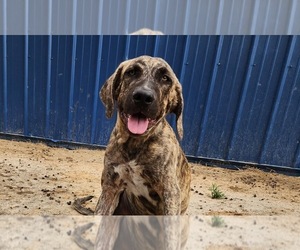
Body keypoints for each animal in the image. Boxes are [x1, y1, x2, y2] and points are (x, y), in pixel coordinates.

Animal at [75, 55, 192, 216]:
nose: (143, 96)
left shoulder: (170, 192)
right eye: (131, 72)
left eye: (165, 78)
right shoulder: (110, 188)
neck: (135, 144)